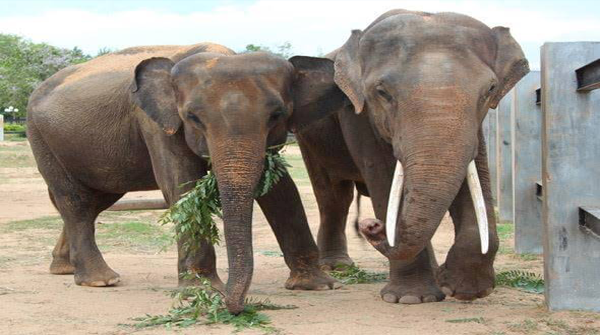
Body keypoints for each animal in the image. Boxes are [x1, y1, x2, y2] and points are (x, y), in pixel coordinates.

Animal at [296, 9, 528, 304]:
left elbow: (476, 181)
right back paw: (337, 267)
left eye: (489, 90)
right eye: (382, 92)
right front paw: (410, 298)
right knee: (333, 196)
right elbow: (383, 177)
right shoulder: (358, 115)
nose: (371, 225)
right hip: (309, 137)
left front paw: (462, 289)